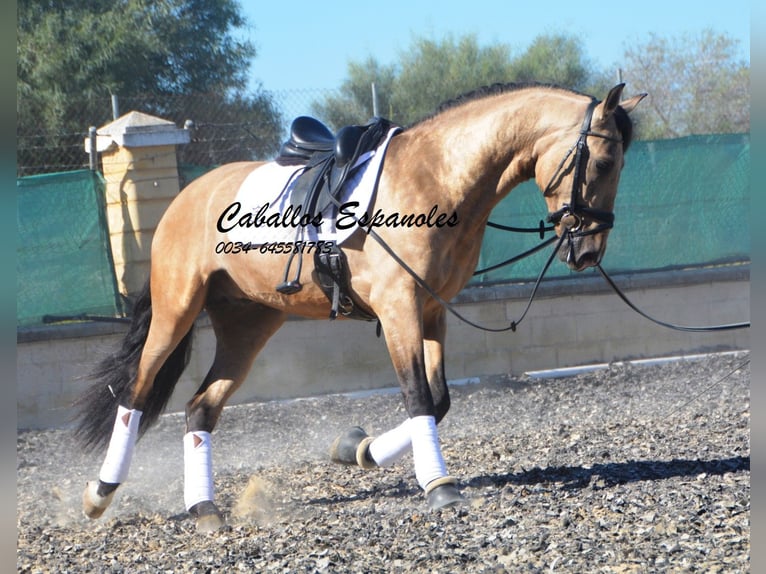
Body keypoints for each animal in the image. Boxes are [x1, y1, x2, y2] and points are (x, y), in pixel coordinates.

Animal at [73, 83, 648, 532]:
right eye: (602, 161)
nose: (588, 252)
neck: (439, 178)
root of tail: (184, 197)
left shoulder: (433, 310)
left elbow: (438, 400)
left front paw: (358, 449)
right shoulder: (399, 308)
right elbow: (418, 396)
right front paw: (438, 485)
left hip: (248, 324)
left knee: (200, 407)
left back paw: (205, 508)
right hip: (177, 309)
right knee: (137, 392)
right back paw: (100, 493)